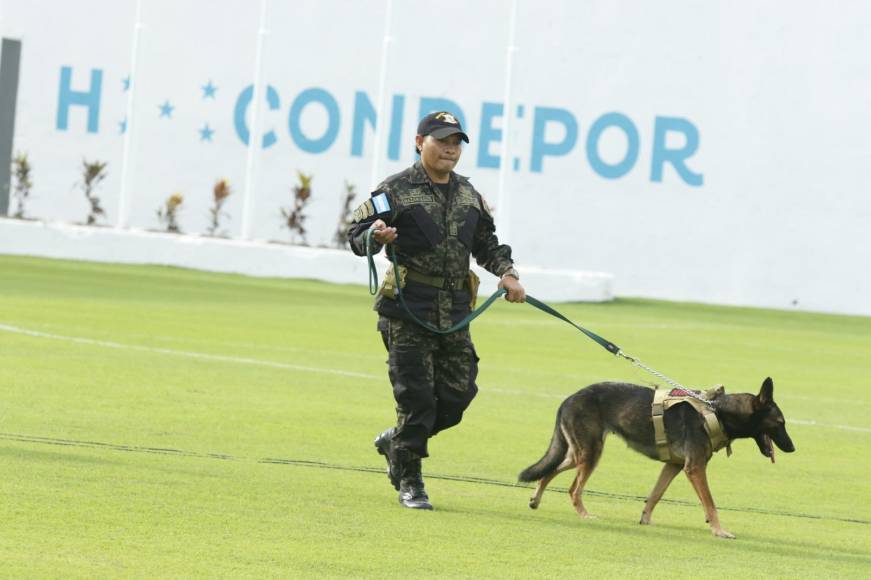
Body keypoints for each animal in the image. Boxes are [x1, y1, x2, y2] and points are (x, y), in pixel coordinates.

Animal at [516, 376, 796, 540]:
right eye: (780, 423)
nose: (793, 448)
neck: (717, 411)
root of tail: (568, 399)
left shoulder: (673, 466)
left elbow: (655, 495)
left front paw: (645, 520)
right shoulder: (695, 468)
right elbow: (710, 503)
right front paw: (718, 530)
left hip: (579, 454)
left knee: (549, 470)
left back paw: (535, 499)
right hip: (590, 453)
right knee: (574, 489)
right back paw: (585, 515)